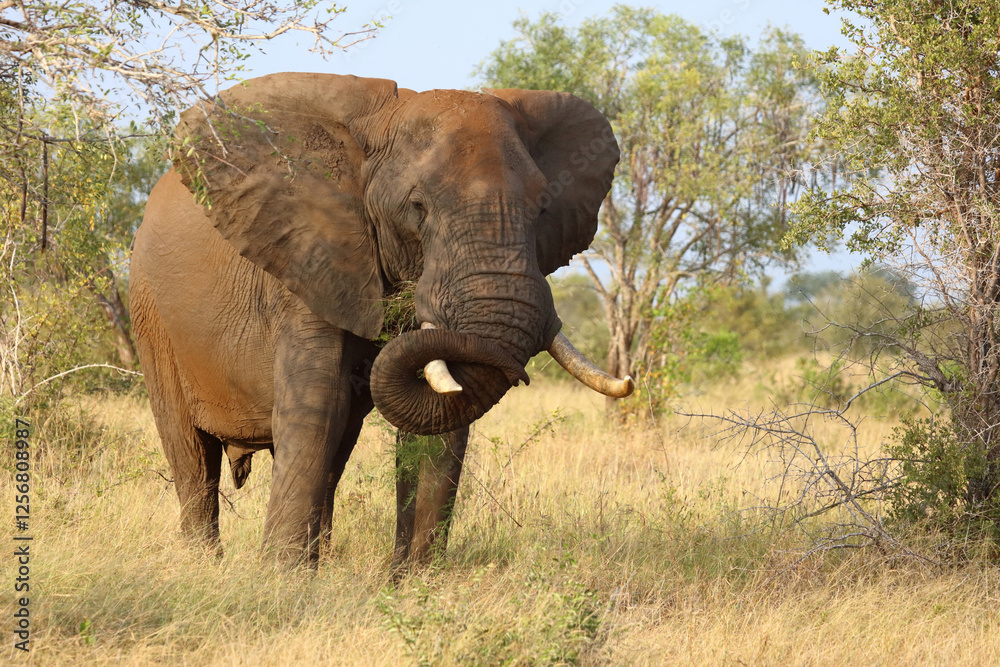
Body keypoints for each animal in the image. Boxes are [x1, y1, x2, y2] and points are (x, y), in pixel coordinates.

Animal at [129, 72, 633, 567]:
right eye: (418, 207)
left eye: (543, 208)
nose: (520, 373)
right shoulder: (308, 256)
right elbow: (318, 406)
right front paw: (279, 577)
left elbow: (440, 413)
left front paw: (415, 580)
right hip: (150, 312)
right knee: (191, 453)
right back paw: (204, 564)